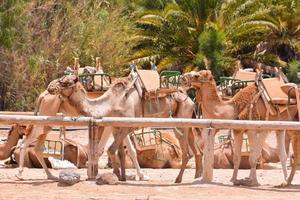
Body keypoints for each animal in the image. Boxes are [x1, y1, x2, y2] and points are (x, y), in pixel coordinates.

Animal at [15, 88, 149, 180]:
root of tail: (43, 95)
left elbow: (131, 150)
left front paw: (142, 175)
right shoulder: (110, 124)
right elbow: (103, 148)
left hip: (47, 123)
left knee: (37, 147)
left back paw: (50, 175)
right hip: (44, 119)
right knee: (25, 142)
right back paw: (20, 174)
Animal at [47, 73, 199, 183]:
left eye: (65, 82)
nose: (49, 87)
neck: (112, 103)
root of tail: (190, 99)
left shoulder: (127, 125)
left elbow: (112, 149)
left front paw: (119, 175)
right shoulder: (116, 127)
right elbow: (123, 151)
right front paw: (122, 176)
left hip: (182, 120)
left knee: (186, 151)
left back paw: (179, 179)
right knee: (193, 147)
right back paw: (197, 175)